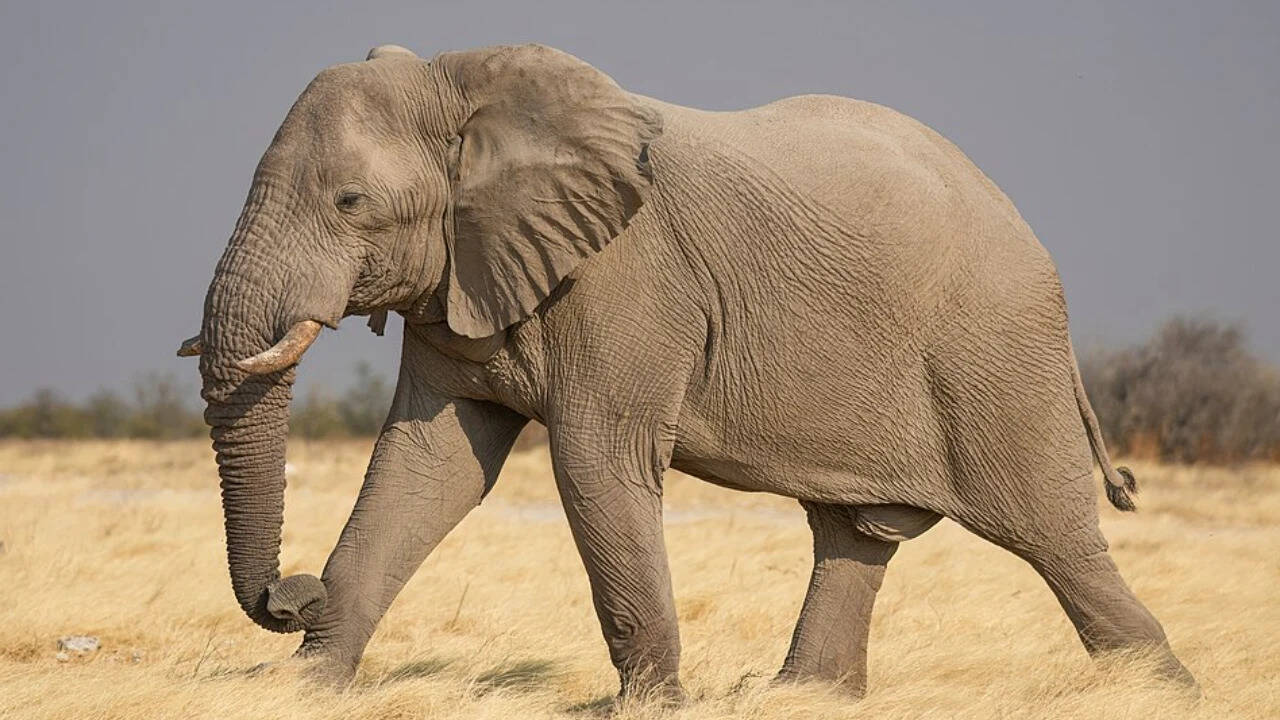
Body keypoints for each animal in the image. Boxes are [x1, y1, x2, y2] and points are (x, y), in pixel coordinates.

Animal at [178, 43, 1195, 700]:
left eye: (351, 202)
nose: (290, 592)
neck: (469, 83)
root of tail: (1028, 231)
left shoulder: (627, 279)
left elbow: (595, 465)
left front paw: (650, 708)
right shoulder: (463, 274)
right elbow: (428, 468)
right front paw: (305, 691)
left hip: (995, 354)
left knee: (1054, 539)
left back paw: (1164, 692)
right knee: (855, 534)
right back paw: (802, 699)